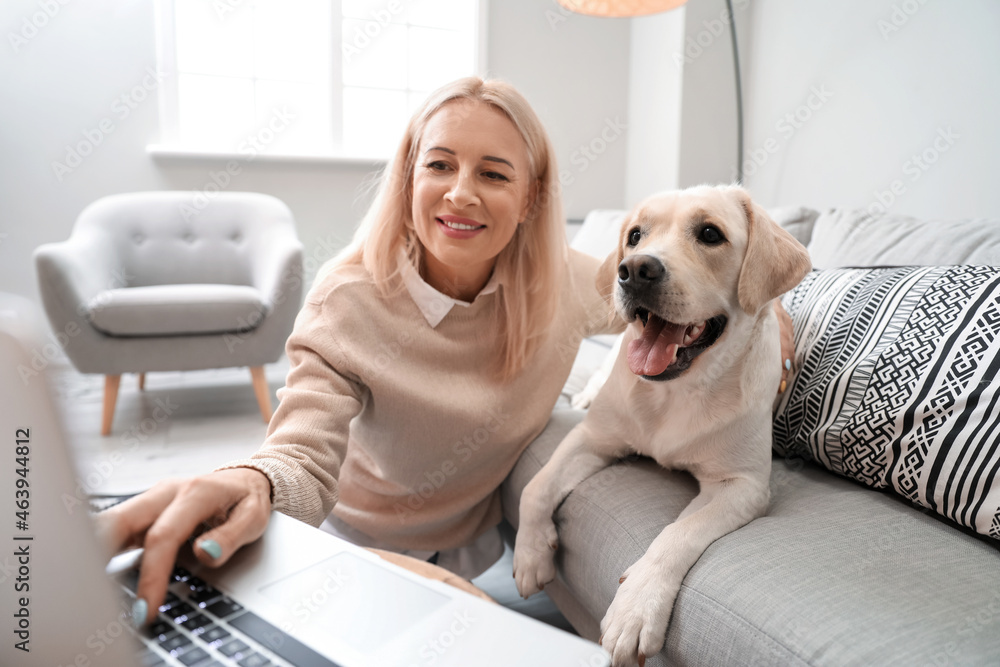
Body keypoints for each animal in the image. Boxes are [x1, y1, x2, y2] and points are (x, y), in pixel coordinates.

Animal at [512, 184, 808, 667]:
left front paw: (635, 607)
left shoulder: (741, 485)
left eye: (710, 234)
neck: (676, 392)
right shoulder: (591, 438)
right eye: (635, 235)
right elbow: (535, 488)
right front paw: (531, 554)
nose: (634, 270)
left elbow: (676, 534)